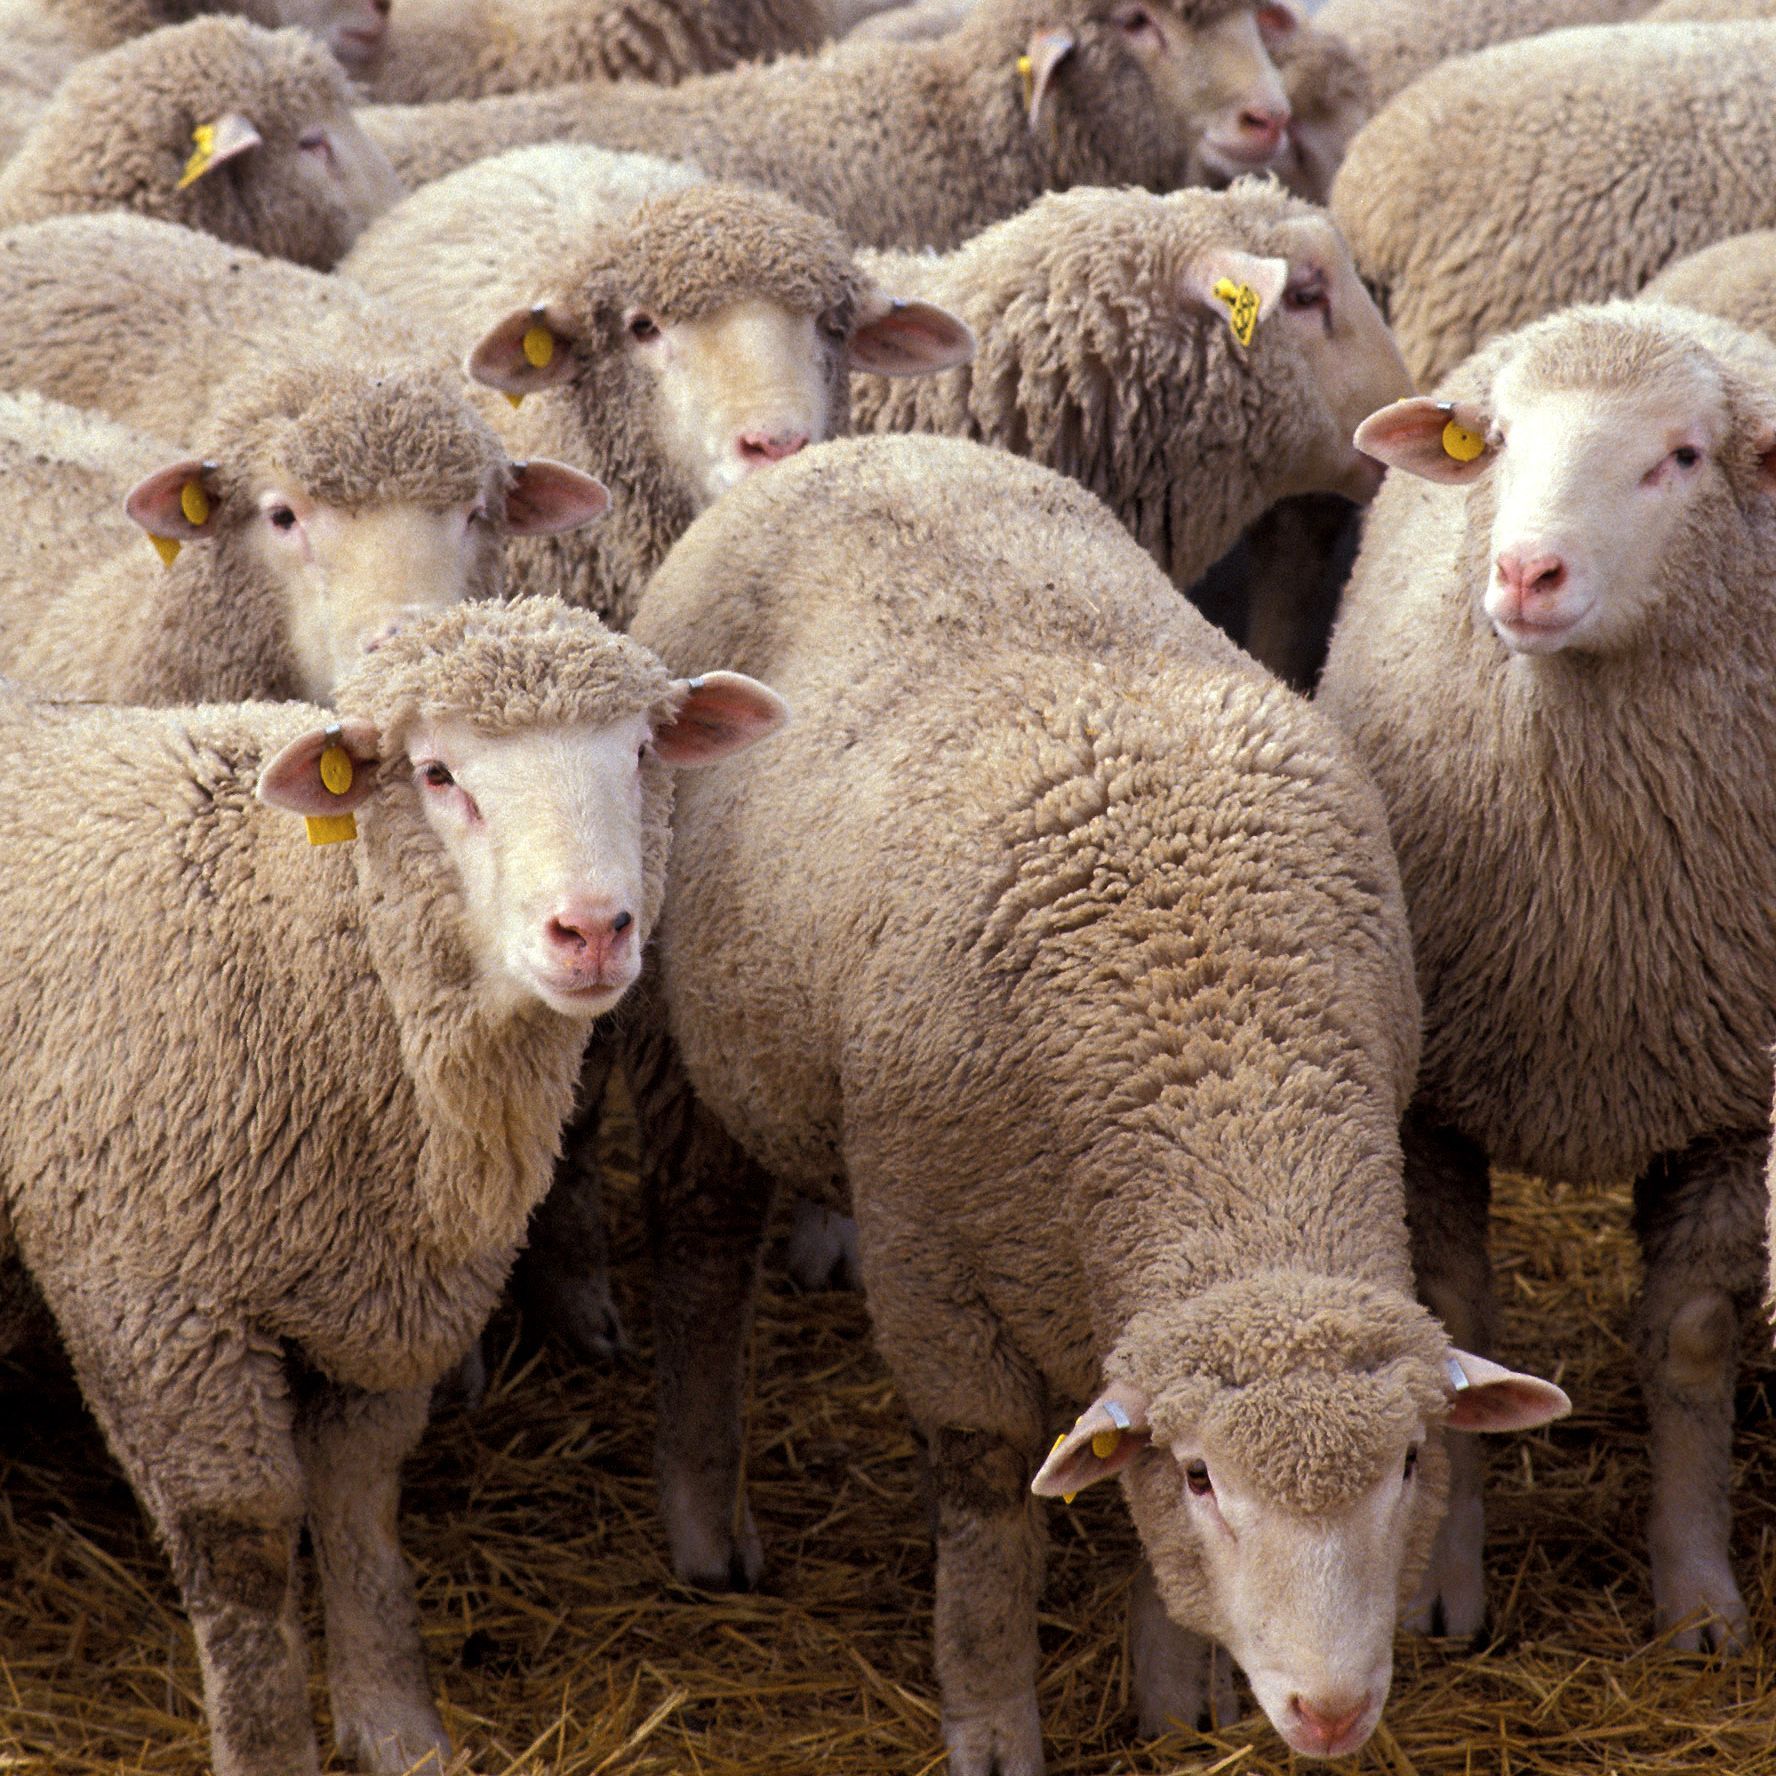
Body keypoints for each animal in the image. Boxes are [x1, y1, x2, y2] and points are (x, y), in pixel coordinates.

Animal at [0, 597, 787, 1776]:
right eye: (435, 773)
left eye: (644, 753)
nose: (592, 930)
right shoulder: (148, 1298)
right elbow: (242, 1545)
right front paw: (269, 1745)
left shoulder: (384, 1285)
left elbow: (360, 1498)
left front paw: (394, 1723)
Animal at [622, 431, 1569, 1774]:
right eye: (1208, 1480)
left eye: (1403, 1465)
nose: (1331, 1712)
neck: (1226, 1094)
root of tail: (868, 444)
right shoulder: (934, 1281)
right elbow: (984, 1511)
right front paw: (991, 1724)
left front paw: (1178, 1704)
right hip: (682, 1038)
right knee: (701, 1254)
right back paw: (707, 1524)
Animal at [1316, 299, 1776, 1653]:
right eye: (1503, 440)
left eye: (1683, 457)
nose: (1526, 575)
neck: (1593, 907)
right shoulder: (1431, 1102)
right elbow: (1454, 1323)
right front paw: (1438, 1587)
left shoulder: (1731, 1102)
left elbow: (1691, 1342)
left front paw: (1699, 1597)